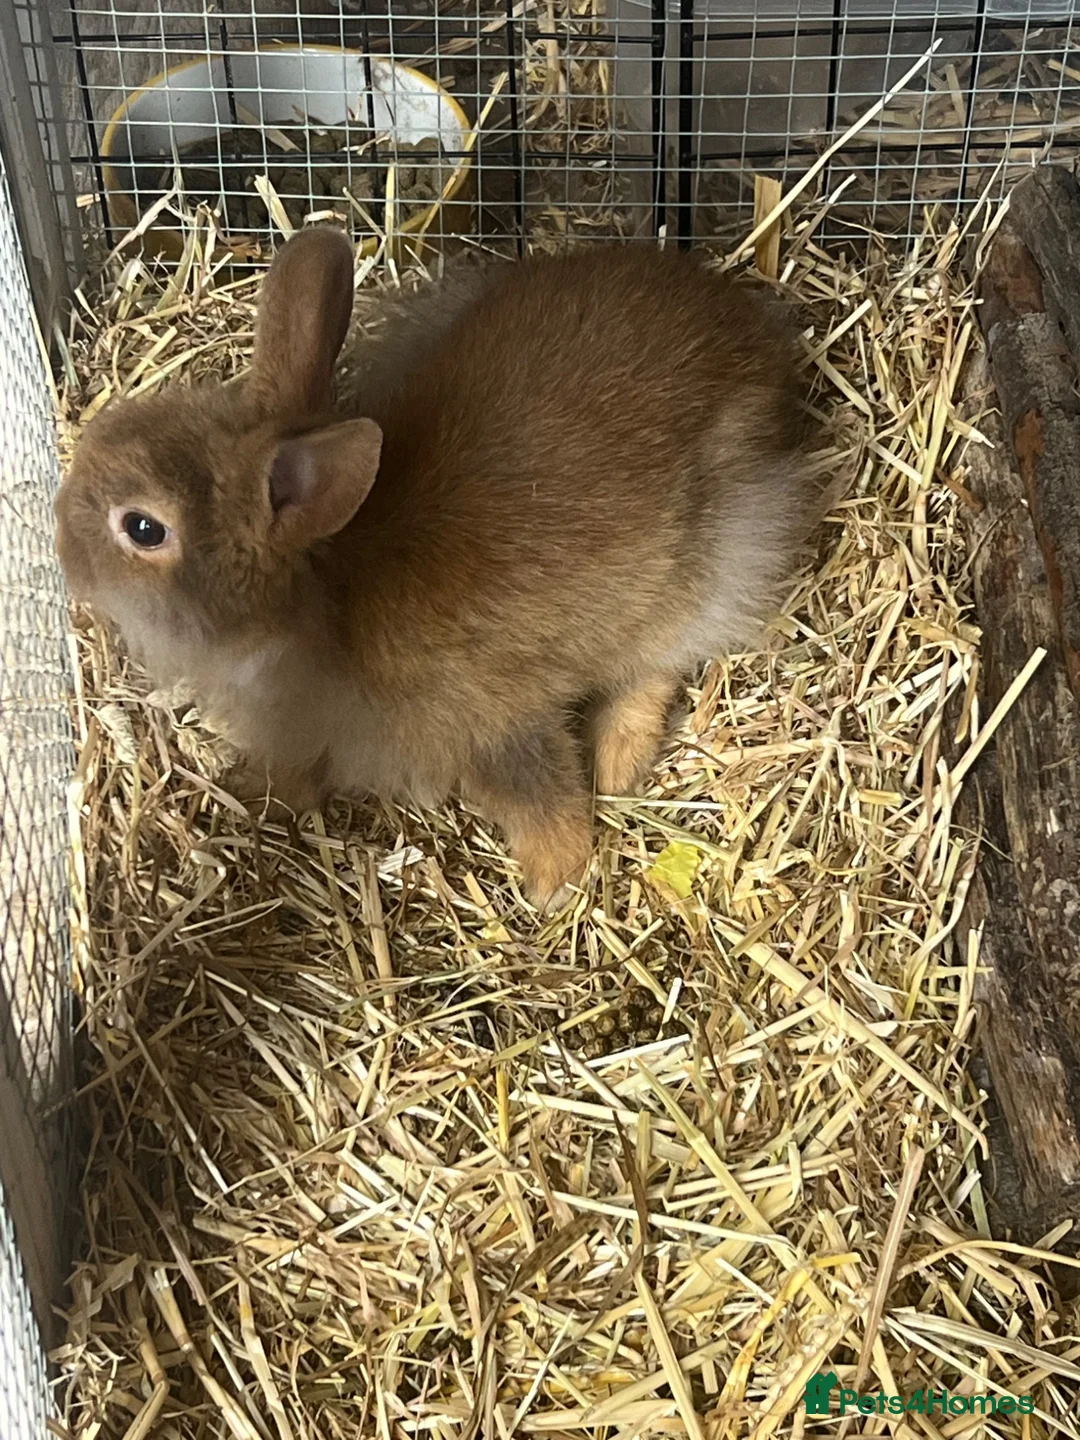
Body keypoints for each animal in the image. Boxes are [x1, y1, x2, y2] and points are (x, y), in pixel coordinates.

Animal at [56, 225, 824, 912]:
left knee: (658, 666)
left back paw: (617, 764)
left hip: (696, 571)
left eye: (143, 528)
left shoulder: (494, 723)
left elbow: (543, 799)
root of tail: (761, 341)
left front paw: (555, 885)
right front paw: (254, 792)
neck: (319, 594)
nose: (60, 546)